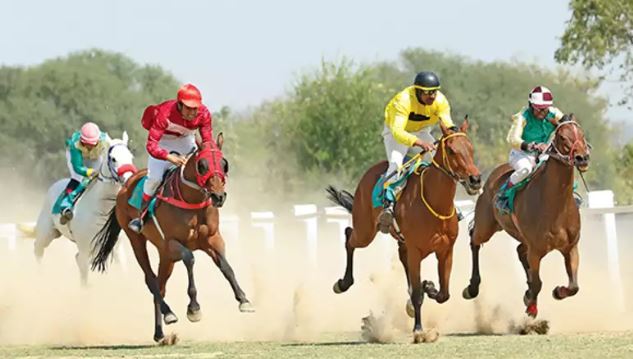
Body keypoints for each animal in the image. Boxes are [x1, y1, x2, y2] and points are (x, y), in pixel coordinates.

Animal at [34, 132, 136, 286]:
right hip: (46, 232)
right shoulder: (85, 249)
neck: (101, 210)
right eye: (113, 159)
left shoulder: (115, 248)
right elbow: (85, 279)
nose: (129, 178)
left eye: (130, 157)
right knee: (38, 249)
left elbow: (123, 271)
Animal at [91, 134, 254, 344]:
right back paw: (168, 313)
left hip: (165, 257)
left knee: (160, 287)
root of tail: (125, 185)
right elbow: (190, 259)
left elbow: (226, 267)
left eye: (224, 164)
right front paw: (194, 308)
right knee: (151, 280)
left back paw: (160, 332)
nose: (219, 196)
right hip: (138, 241)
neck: (191, 200)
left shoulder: (213, 239)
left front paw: (244, 300)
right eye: (202, 165)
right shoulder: (172, 243)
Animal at [326, 120, 478, 344]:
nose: (475, 179)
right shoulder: (416, 250)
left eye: (471, 148)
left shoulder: (445, 251)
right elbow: (417, 294)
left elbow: (444, 294)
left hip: (401, 244)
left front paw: (429, 286)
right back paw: (343, 283)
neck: (434, 203)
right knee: (348, 236)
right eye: (451, 150)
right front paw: (419, 331)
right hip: (365, 231)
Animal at [462, 114, 592, 320]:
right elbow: (538, 283)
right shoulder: (536, 251)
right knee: (475, 240)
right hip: (486, 225)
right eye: (562, 137)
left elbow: (574, 286)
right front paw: (530, 302)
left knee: (520, 251)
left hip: (522, 238)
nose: (582, 158)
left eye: (582, 133)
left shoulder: (570, 247)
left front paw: (556, 292)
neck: (556, 207)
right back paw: (472, 287)